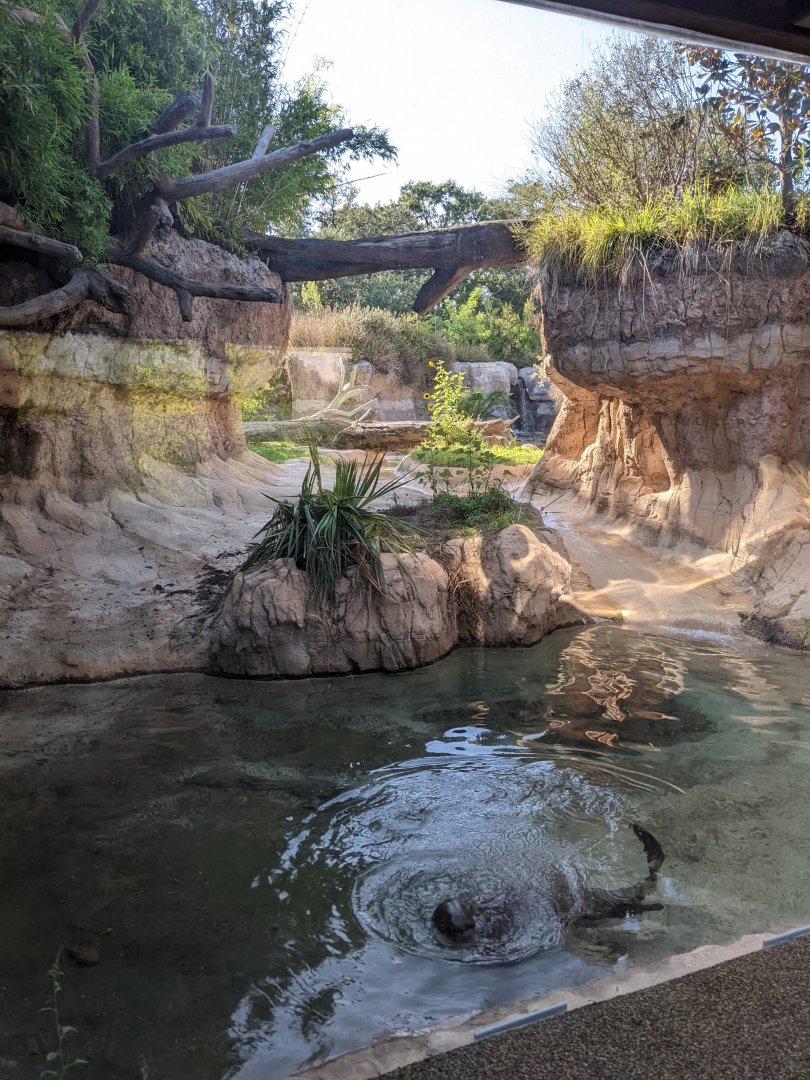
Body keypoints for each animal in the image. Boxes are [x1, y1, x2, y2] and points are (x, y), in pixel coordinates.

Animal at [432, 822, 665, 947]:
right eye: (463, 924)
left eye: (469, 906)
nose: (468, 926)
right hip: (598, 907)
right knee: (627, 904)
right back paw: (655, 905)